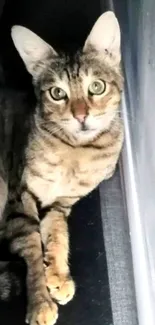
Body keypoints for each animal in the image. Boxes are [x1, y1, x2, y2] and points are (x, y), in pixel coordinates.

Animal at [0, 10, 123, 324]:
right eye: (57, 93)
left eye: (96, 87)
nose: (81, 116)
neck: (77, 151)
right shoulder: (21, 196)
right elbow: (31, 244)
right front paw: (40, 301)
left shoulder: (61, 204)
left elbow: (57, 234)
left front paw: (57, 275)